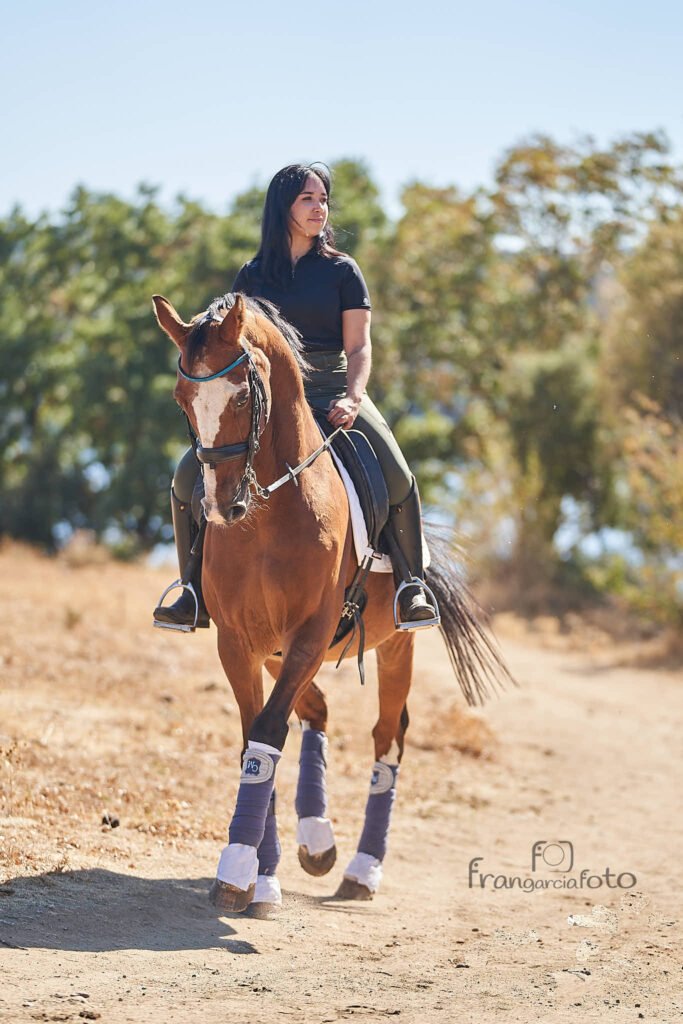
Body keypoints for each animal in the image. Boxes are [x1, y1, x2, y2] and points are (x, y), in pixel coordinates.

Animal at [152, 290, 510, 915]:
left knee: (388, 737)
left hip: (392, 648)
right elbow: (256, 736)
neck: (269, 511)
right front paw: (260, 877)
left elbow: (268, 731)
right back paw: (314, 843)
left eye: (243, 395)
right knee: (316, 712)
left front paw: (237, 870)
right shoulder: (240, 643)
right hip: (279, 652)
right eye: (182, 399)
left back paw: (362, 871)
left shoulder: (310, 633)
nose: (221, 506)